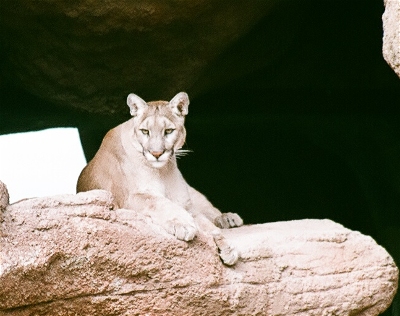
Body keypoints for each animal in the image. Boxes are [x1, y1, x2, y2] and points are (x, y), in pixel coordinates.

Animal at [76, 92, 242, 266]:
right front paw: (183, 224)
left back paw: (228, 218)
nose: (156, 153)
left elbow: (207, 225)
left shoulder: (186, 203)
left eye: (168, 131)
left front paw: (227, 246)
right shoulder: (130, 198)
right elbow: (158, 202)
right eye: (145, 131)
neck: (163, 172)